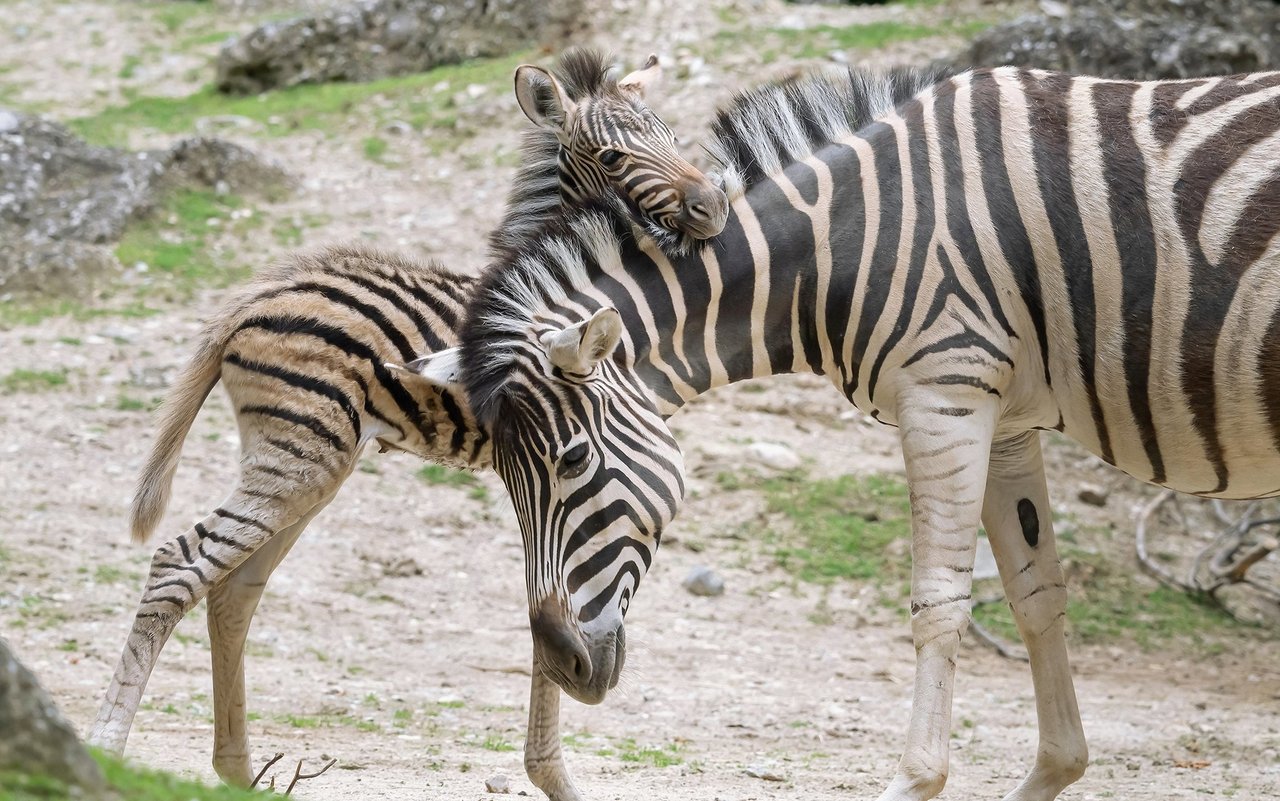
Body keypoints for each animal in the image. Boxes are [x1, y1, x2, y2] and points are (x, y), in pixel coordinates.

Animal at [87, 49, 732, 798]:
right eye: (610, 154)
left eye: (670, 133)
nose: (713, 207)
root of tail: (249, 299)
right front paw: (557, 775)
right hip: (298, 455)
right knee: (178, 564)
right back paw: (108, 745)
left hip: (304, 461)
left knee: (231, 587)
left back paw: (239, 769)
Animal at [404, 67, 1280, 798]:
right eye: (504, 481)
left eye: (572, 460)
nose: (562, 660)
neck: (841, 248)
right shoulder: (1004, 417)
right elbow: (1036, 596)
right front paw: (1060, 762)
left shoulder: (946, 395)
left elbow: (940, 605)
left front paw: (921, 776)